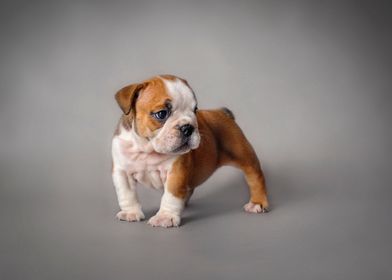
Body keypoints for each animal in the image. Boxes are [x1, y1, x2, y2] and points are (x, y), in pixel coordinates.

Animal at [112, 74, 268, 228]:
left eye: (195, 110)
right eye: (161, 114)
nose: (188, 127)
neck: (148, 149)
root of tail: (222, 112)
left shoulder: (176, 172)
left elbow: (171, 195)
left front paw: (165, 217)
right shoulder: (122, 171)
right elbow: (127, 194)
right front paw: (130, 213)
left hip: (243, 155)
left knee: (255, 176)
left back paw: (257, 203)